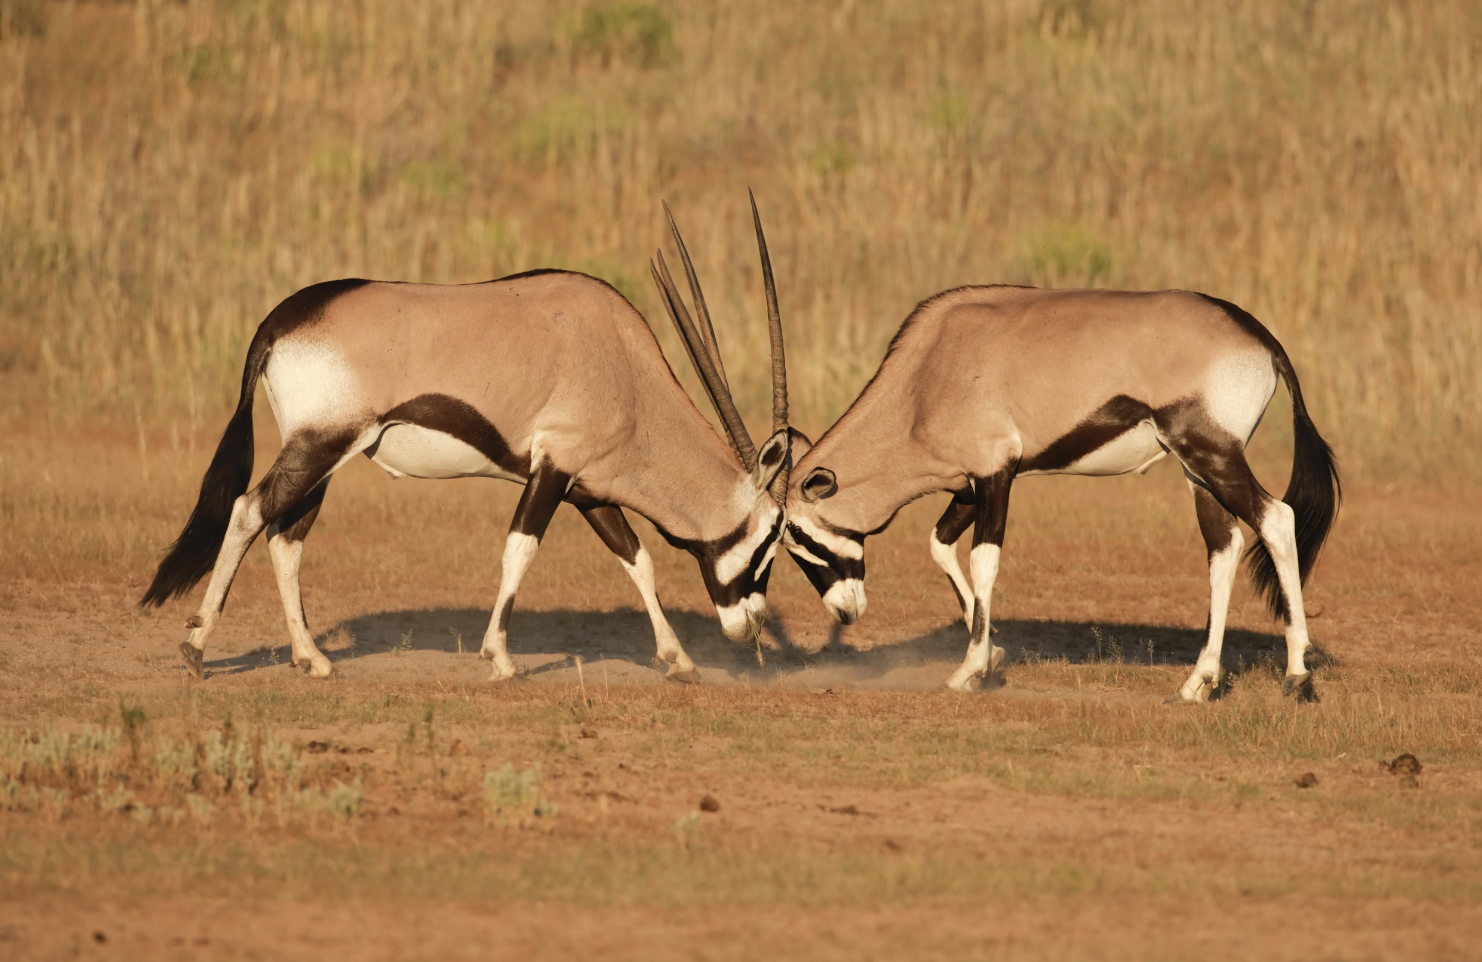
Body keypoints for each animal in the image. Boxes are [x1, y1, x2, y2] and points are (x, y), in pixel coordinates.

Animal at [140, 203, 794, 681]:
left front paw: (678, 660)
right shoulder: (553, 469)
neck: (628, 372)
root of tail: (281, 319)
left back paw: (312, 659)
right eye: (772, 535)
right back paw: (197, 649)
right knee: (249, 511)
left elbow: (638, 560)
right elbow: (520, 550)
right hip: (319, 446)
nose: (752, 628)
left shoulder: (586, 489)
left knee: (285, 536)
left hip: (322, 459)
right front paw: (500, 658)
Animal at [788, 284, 1345, 696]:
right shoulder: (968, 485)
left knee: (1276, 518)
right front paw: (993, 652)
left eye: (792, 533)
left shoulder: (995, 473)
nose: (844, 611)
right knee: (1223, 546)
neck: (925, 377)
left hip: (1214, 454)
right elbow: (939, 544)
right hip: (1197, 471)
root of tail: (1260, 338)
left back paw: (1297, 673)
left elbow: (983, 559)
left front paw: (969, 670)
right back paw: (1198, 682)